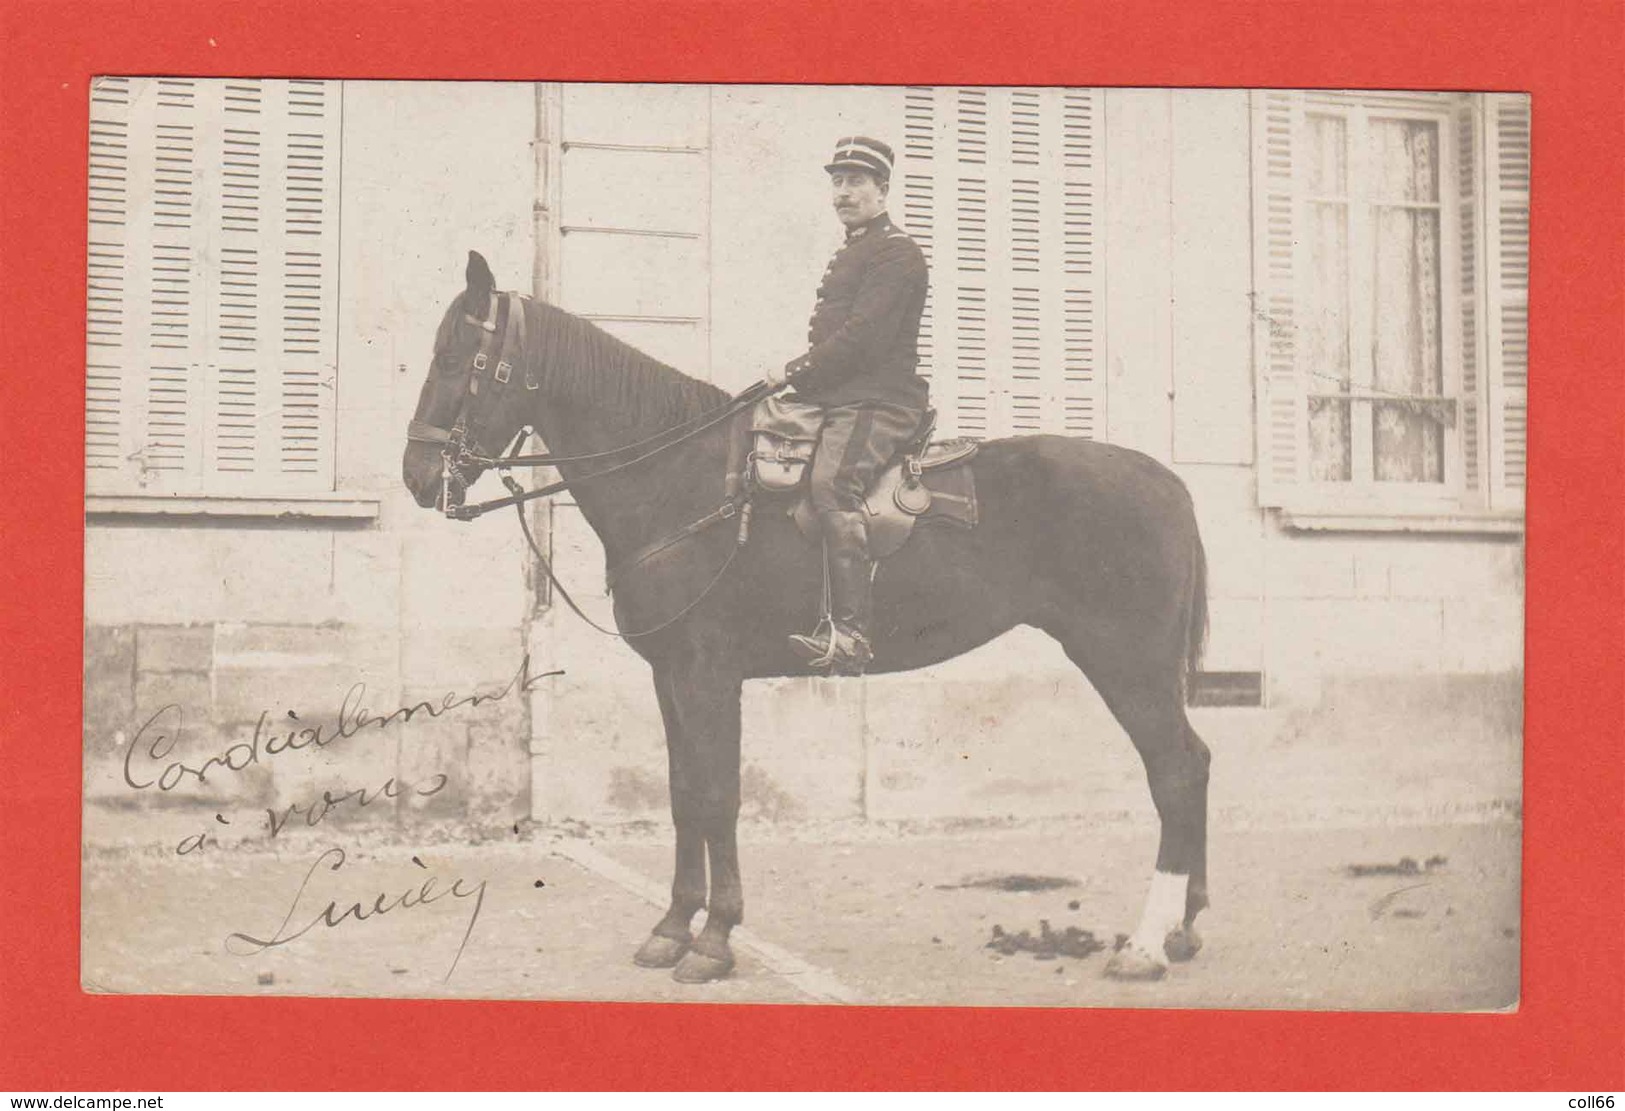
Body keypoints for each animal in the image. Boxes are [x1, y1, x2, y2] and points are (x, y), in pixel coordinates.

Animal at [401, 251, 1215, 981]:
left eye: (456, 357)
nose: (416, 474)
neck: (680, 477)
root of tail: (1165, 480)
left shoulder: (708, 675)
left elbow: (716, 795)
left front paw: (714, 937)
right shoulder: (671, 677)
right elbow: (682, 796)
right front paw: (672, 926)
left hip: (1124, 661)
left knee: (1175, 771)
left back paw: (1145, 946)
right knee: (1195, 763)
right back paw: (1185, 928)